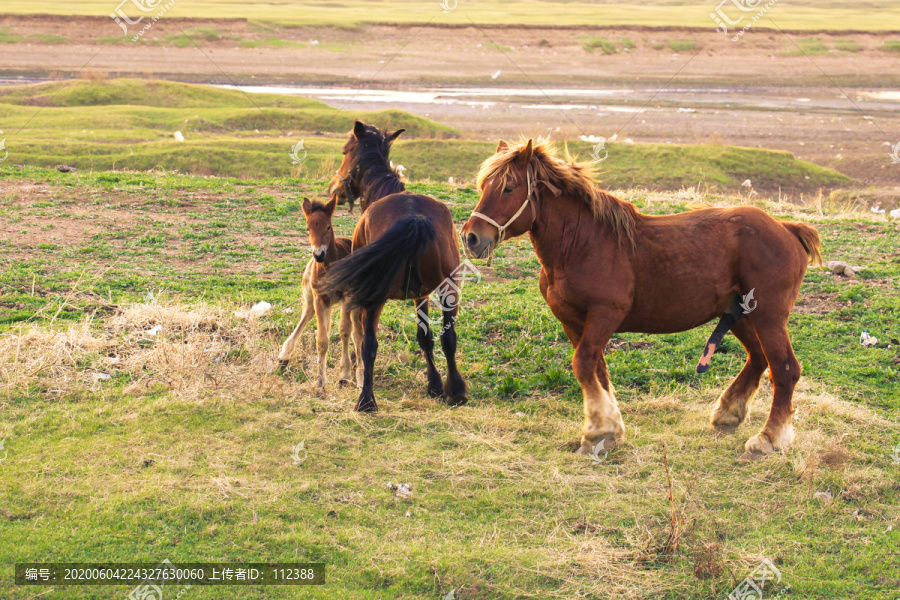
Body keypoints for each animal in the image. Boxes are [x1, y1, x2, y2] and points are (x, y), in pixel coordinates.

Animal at [318, 122, 472, 412]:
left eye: (345, 151)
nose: (335, 188)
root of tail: (414, 217)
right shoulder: (422, 295)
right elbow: (426, 337)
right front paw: (434, 385)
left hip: (375, 298)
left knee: (369, 343)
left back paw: (366, 400)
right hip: (449, 291)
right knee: (449, 338)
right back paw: (456, 390)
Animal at [464, 139, 824, 460]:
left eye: (508, 188)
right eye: (484, 186)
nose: (471, 237)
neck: (581, 244)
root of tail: (787, 228)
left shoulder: (605, 314)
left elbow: (583, 364)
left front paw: (596, 433)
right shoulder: (573, 321)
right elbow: (597, 370)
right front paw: (609, 431)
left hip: (768, 316)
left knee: (784, 368)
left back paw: (767, 440)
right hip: (742, 316)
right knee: (758, 358)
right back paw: (728, 414)